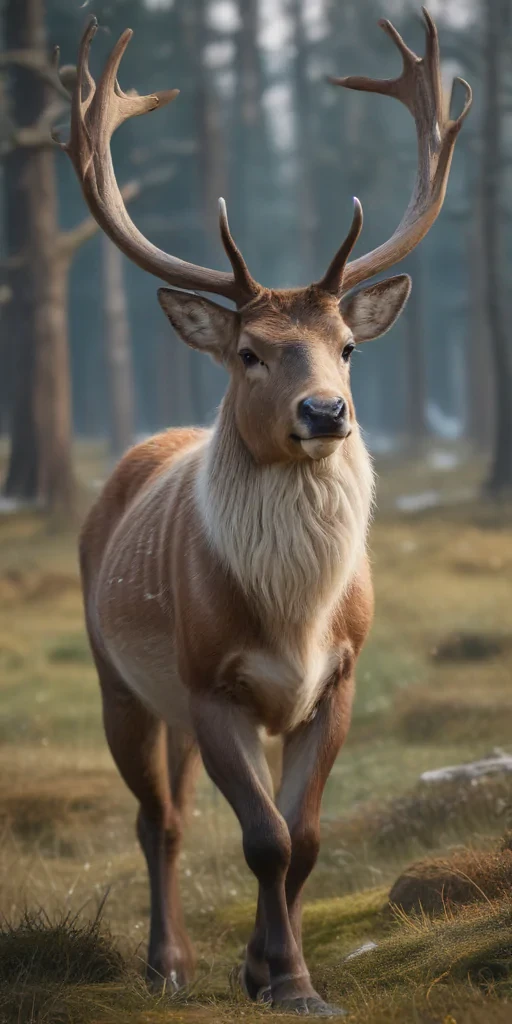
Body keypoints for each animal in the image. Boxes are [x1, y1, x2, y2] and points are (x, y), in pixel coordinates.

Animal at [63, 9, 471, 1017]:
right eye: (250, 352)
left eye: (349, 345)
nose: (326, 412)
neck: (296, 617)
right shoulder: (211, 681)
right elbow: (262, 838)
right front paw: (285, 980)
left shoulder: (343, 674)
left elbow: (306, 838)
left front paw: (271, 970)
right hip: (121, 679)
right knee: (159, 819)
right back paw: (165, 962)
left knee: (179, 812)